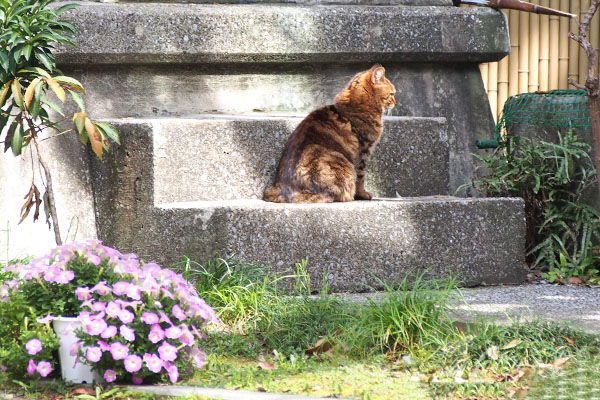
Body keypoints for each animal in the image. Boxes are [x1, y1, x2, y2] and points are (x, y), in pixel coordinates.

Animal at [264, 66, 396, 205]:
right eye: (392, 94)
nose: (395, 102)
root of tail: (284, 192)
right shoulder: (364, 152)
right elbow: (360, 177)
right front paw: (362, 194)